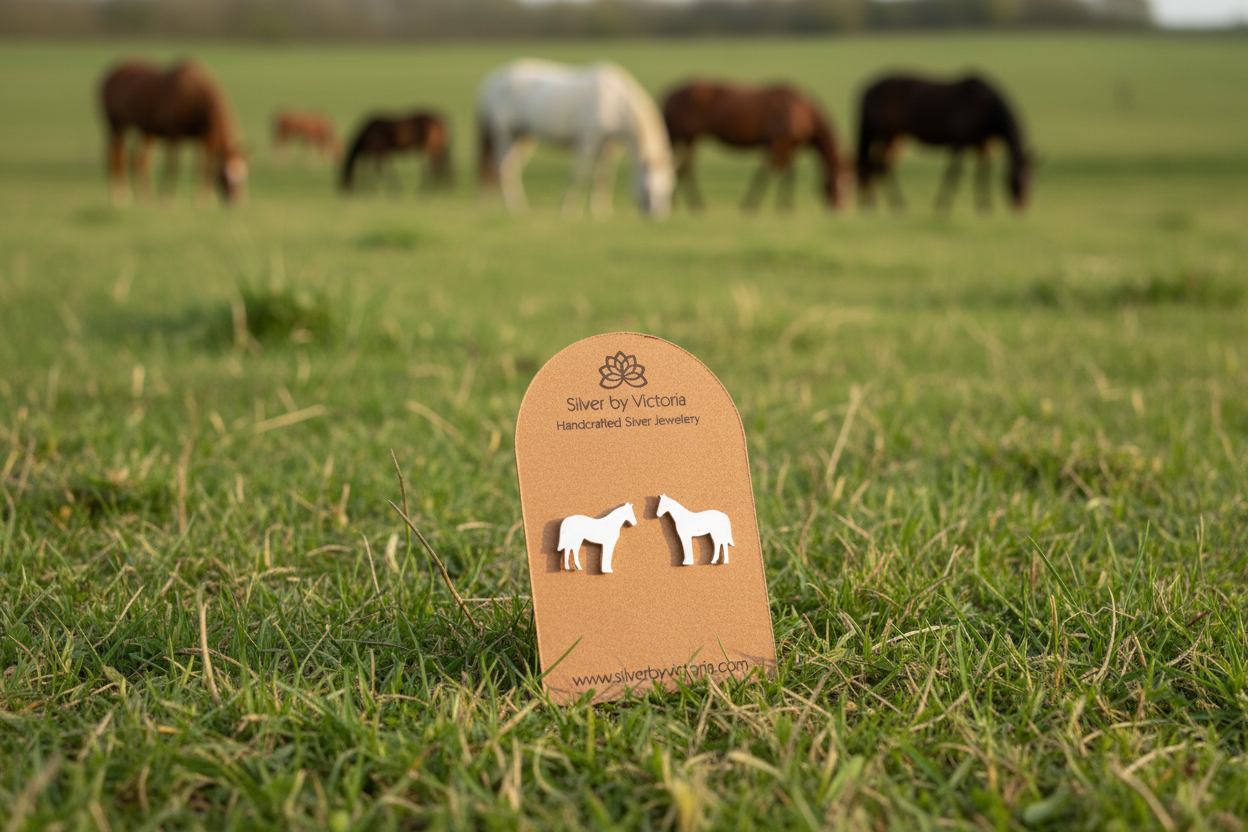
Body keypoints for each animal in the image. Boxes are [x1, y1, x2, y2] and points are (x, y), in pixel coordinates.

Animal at [99, 60, 247, 205]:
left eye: (244, 176)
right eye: (222, 176)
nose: (235, 202)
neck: (194, 98)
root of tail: (111, 74)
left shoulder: (206, 139)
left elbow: (203, 166)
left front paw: (204, 199)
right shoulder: (174, 136)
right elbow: (173, 166)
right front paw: (167, 196)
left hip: (146, 133)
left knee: (140, 160)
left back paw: (145, 196)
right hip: (117, 125)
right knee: (116, 156)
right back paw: (120, 195)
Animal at [476, 59, 675, 219]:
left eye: (667, 191)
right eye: (648, 189)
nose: (657, 216)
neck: (612, 102)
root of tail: (492, 83)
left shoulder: (609, 147)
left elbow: (602, 177)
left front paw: (599, 210)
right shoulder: (588, 142)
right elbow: (578, 175)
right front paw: (568, 209)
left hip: (522, 138)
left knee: (513, 168)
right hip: (504, 134)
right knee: (504, 168)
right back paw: (513, 207)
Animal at [662, 80, 847, 212]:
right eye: (837, 183)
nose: (840, 208)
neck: (800, 110)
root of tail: (669, 95)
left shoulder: (788, 146)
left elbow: (787, 174)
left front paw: (785, 206)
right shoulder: (777, 142)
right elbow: (764, 173)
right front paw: (750, 206)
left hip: (688, 139)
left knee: (679, 168)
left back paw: (675, 204)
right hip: (687, 138)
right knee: (685, 169)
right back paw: (695, 206)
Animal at [855, 73, 1033, 213]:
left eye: (1031, 179)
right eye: (1017, 179)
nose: (1022, 206)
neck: (986, 108)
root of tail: (867, 89)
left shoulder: (984, 145)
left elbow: (983, 172)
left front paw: (985, 206)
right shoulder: (959, 142)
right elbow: (954, 173)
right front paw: (942, 205)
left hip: (896, 137)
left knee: (877, 166)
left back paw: (879, 204)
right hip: (886, 134)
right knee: (876, 165)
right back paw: (889, 204)